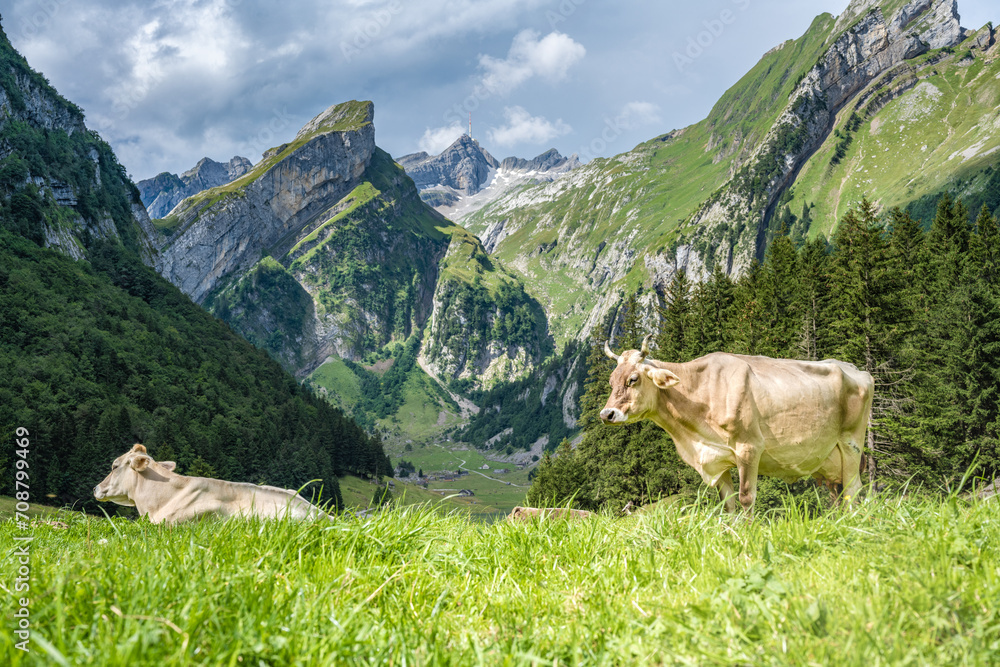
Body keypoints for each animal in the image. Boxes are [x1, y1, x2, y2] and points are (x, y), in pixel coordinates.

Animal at [596, 336, 872, 516]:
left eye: (633, 379)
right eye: (611, 381)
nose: (607, 413)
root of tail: (855, 369)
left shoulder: (749, 447)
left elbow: (746, 498)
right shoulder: (716, 460)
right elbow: (728, 505)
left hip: (851, 444)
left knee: (853, 490)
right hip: (829, 462)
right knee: (838, 494)